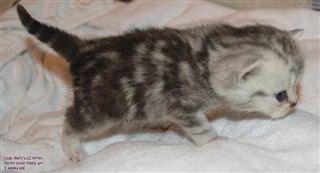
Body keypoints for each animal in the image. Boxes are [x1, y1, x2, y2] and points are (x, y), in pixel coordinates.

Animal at [16, 3, 302, 161]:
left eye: (296, 87)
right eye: (280, 95)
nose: (294, 105)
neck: (205, 58)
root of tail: (84, 50)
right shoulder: (181, 105)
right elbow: (200, 129)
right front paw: (217, 143)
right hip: (99, 108)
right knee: (70, 121)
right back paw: (73, 149)